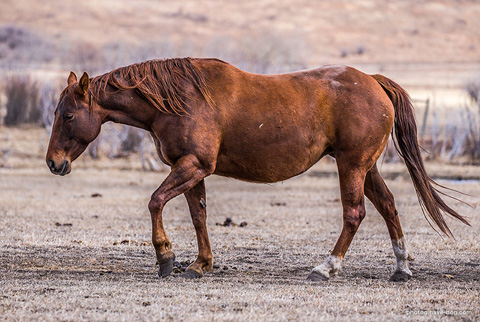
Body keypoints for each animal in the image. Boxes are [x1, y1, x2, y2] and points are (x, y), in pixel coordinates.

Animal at [46, 57, 468, 282]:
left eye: (67, 115)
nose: (54, 162)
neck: (179, 100)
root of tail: (374, 83)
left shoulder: (192, 165)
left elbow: (154, 201)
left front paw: (166, 257)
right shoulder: (193, 170)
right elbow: (198, 216)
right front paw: (200, 264)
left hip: (351, 166)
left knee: (355, 213)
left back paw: (325, 268)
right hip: (365, 167)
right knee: (389, 207)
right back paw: (401, 268)